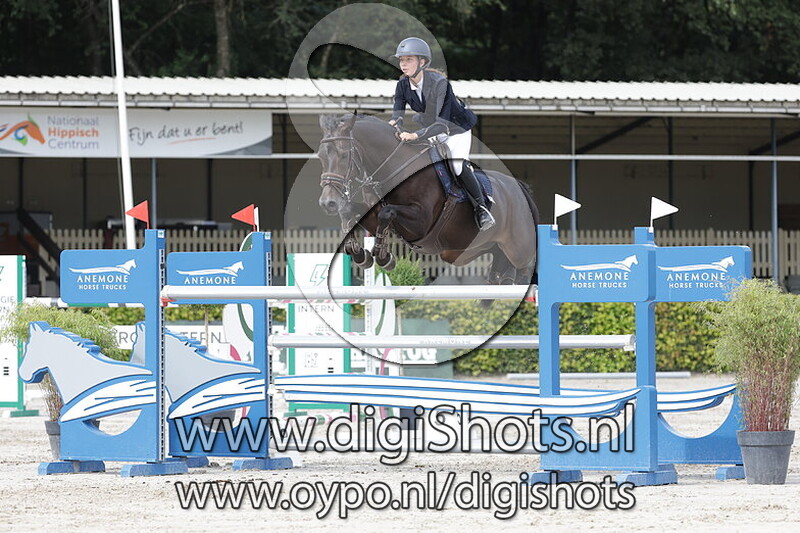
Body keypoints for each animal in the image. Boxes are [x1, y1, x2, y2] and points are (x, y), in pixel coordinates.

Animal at [317, 113, 539, 285]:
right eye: (321, 156)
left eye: (344, 155)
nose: (328, 203)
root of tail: (520, 187)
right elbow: (349, 211)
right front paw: (359, 254)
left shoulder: (421, 222)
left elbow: (386, 213)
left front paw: (382, 256)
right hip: (489, 250)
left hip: (519, 249)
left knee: (525, 271)